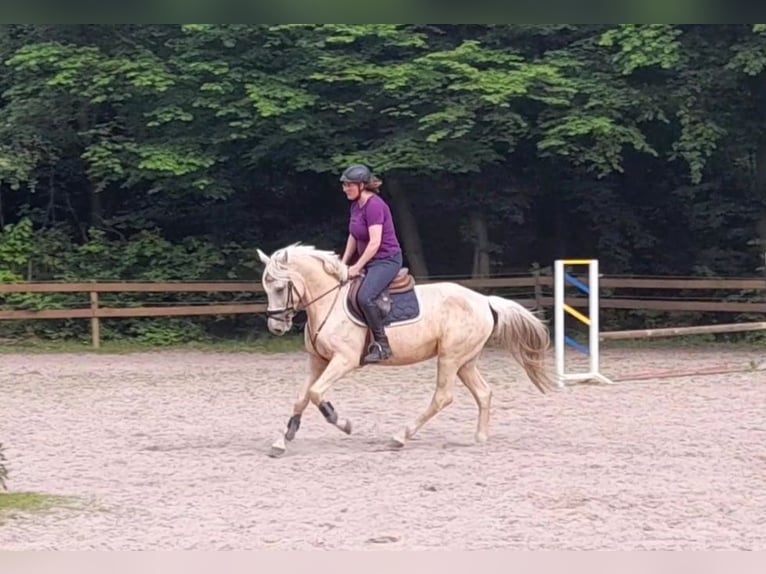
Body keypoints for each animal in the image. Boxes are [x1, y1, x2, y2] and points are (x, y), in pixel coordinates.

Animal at [255, 243, 560, 460]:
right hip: (465, 361)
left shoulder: (344, 360)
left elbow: (317, 393)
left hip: (450, 357)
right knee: (484, 393)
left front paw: (342, 422)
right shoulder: (318, 362)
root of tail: (484, 300)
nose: (276, 327)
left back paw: (400, 436)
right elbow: (302, 397)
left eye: (280, 287)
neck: (329, 301)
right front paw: (282, 440)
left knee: (442, 397)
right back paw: (480, 438)